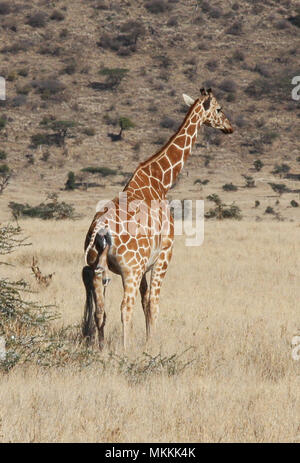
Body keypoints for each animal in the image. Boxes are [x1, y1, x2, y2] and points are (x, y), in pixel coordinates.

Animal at [82, 88, 234, 352]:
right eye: (219, 109)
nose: (229, 127)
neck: (160, 182)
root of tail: (99, 228)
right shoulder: (163, 256)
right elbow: (153, 303)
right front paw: (150, 346)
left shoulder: (146, 264)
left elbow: (145, 303)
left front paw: (148, 341)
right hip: (129, 269)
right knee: (125, 307)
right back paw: (125, 351)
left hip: (97, 268)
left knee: (101, 311)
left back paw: (101, 350)